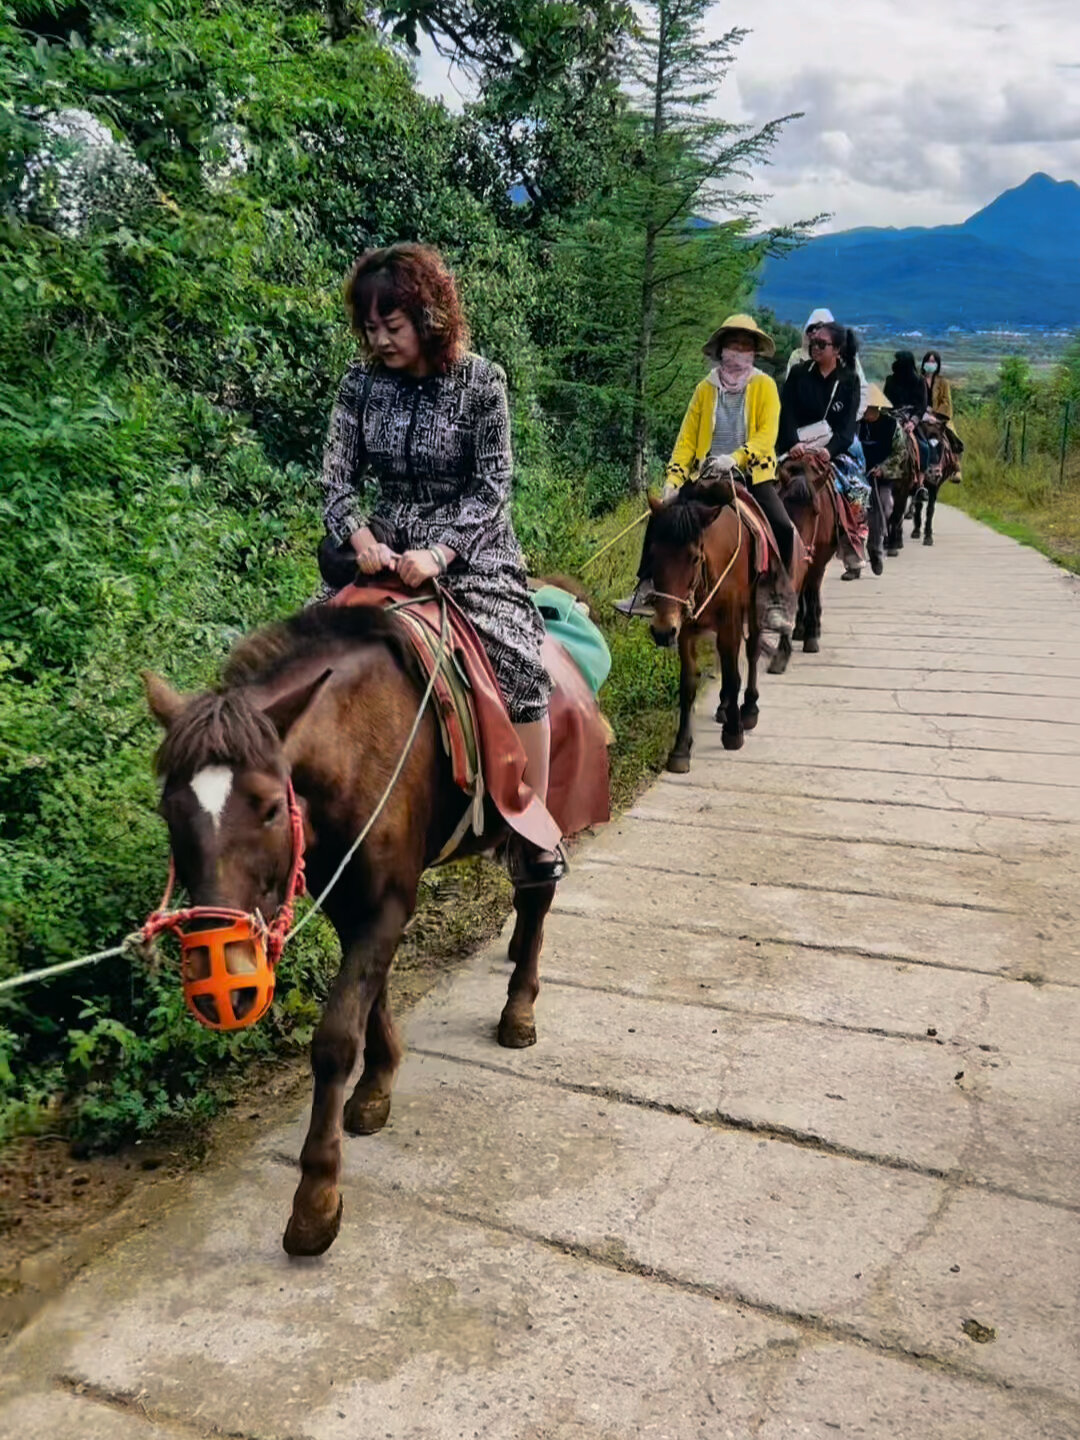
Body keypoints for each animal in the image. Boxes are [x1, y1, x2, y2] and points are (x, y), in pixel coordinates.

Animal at [146, 601, 567, 1255]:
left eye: (271, 807)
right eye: (170, 811)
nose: (224, 980)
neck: (353, 749)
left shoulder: (388, 902)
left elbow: (335, 1037)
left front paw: (315, 1200)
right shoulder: (349, 900)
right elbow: (372, 995)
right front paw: (376, 1085)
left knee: (537, 894)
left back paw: (519, 1009)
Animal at [777, 449, 846, 659]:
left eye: (816, 512)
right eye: (784, 505)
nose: (799, 548)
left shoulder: (818, 562)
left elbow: (813, 592)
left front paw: (812, 636)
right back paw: (799, 627)